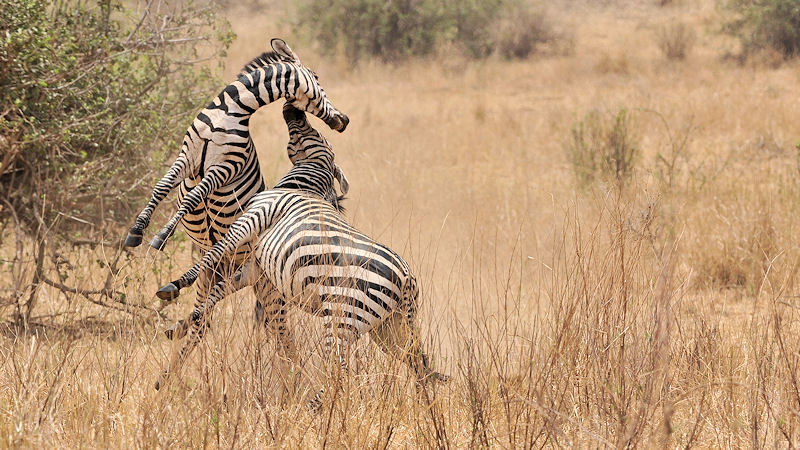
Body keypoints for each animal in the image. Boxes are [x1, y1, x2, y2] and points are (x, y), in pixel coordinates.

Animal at [153, 105, 447, 393]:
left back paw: (313, 403)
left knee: (339, 371)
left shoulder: (255, 217)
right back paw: (424, 405)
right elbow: (219, 292)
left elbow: (216, 252)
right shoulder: (256, 267)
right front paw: (181, 324)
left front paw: (173, 286)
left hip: (345, 315)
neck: (302, 186)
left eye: (317, 133)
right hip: (390, 327)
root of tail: (407, 278)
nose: (291, 107)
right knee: (417, 364)